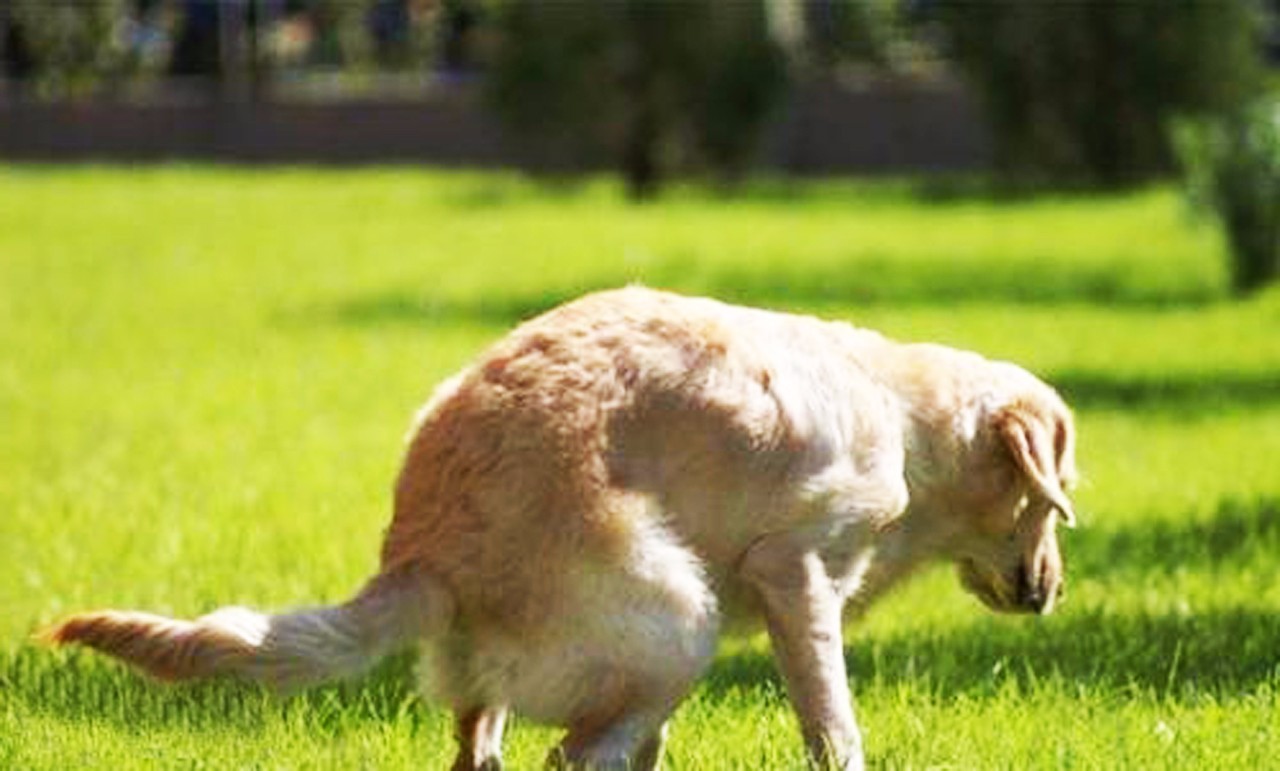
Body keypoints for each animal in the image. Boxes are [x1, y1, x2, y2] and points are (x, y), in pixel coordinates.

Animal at [45, 285, 1075, 763]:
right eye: (1051, 494)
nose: (1051, 593)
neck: (908, 421)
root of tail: (425, 547)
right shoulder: (796, 576)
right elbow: (834, 726)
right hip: (680, 626)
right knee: (572, 755)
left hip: (541, 673)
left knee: (492, 750)